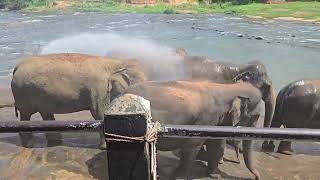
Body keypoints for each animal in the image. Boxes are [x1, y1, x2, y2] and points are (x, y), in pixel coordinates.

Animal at [10, 52, 146, 148]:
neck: (116, 62)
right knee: (26, 116)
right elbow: (99, 113)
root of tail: (16, 67)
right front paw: (104, 148)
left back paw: (56, 142)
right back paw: (29, 145)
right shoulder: (98, 88)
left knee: (46, 114)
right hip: (23, 92)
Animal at [125, 80, 262, 180]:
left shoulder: (216, 120)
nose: (257, 177)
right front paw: (180, 177)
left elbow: (215, 144)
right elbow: (192, 145)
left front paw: (214, 175)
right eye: (256, 117)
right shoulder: (206, 119)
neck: (228, 87)